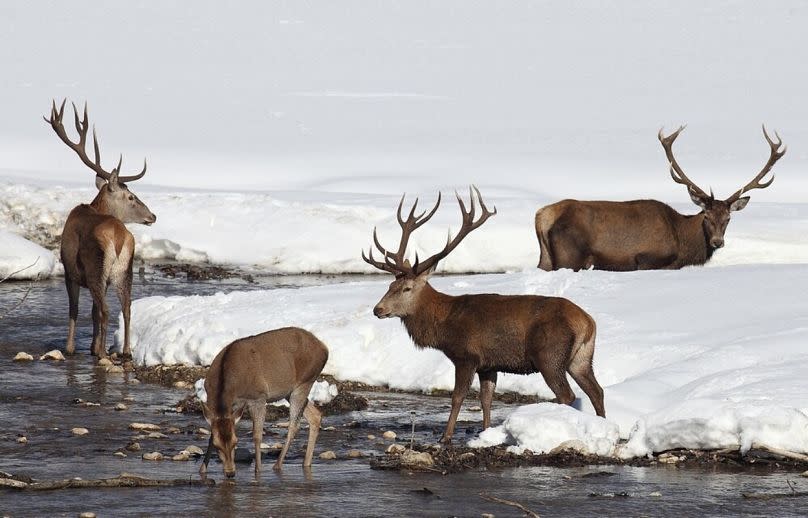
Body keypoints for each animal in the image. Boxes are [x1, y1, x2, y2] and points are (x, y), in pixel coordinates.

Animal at [45, 102, 156, 362]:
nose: (153, 216)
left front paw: (72, 347)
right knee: (126, 307)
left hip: (95, 266)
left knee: (106, 309)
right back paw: (125, 351)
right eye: (131, 196)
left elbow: (76, 309)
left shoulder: (70, 271)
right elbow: (94, 312)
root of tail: (119, 236)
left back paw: (104, 353)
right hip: (123, 270)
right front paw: (93, 346)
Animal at [199, 332, 328, 482]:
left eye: (236, 442)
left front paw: (258, 471)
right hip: (289, 391)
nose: (230, 473)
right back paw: (306, 463)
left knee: (293, 425)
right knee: (315, 415)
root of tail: (324, 348)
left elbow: (257, 436)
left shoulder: (258, 397)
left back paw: (277, 465)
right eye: (217, 445)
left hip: (304, 383)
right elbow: (211, 434)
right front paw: (202, 470)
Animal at [362, 187, 604, 442]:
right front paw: (486, 432)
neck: (444, 325)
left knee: (568, 395)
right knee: (596, 391)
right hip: (581, 357)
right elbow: (486, 400)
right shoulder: (489, 364)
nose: (378, 309)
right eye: (390, 285)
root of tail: (587, 322)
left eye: (406, 288)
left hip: (550, 354)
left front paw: (445, 437)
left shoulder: (466, 355)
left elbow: (458, 397)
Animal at [532, 126, 784, 272]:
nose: (717, 242)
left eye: (728, 218)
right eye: (706, 215)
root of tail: (542, 216)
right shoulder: (648, 259)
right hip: (569, 257)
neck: (682, 241)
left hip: (545, 258)